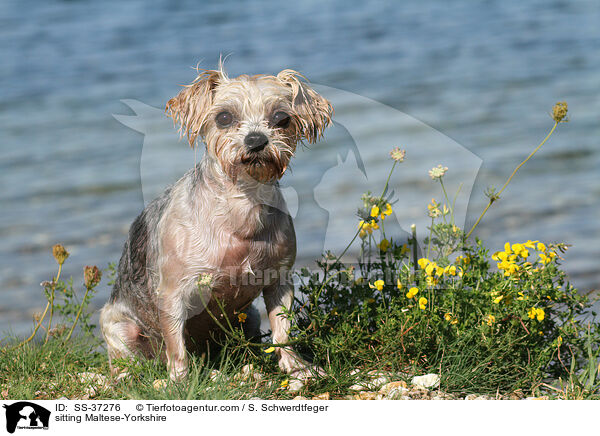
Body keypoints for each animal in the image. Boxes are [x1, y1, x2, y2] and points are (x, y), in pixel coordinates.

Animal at [99, 64, 332, 382]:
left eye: (281, 118)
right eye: (224, 117)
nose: (256, 140)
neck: (241, 204)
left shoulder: (279, 279)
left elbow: (282, 332)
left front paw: (296, 366)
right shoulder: (172, 294)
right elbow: (176, 346)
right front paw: (180, 382)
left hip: (250, 318)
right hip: (119, 326)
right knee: (130, 359)